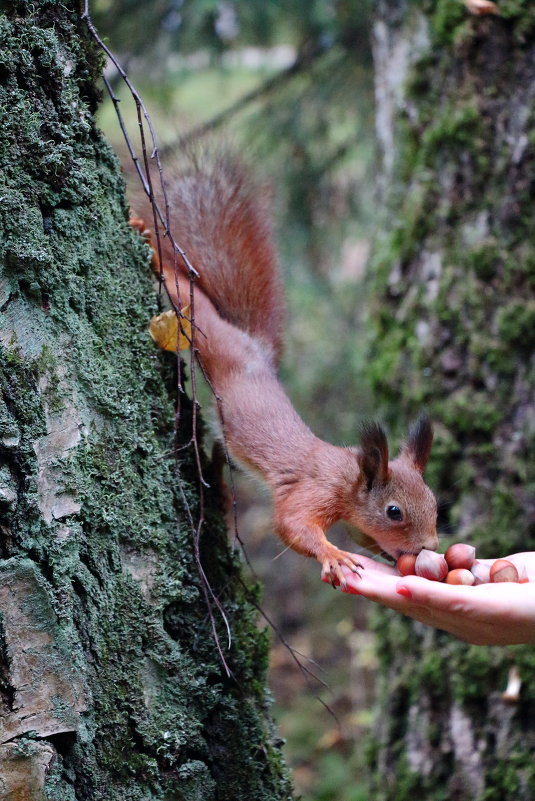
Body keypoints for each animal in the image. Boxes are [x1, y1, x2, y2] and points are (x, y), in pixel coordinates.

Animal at [131, 156, 440, 584]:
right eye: (394, 511)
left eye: (435, 502)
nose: (430, 546)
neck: (347, 476)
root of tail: (255, 349)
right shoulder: (313, 492)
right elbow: (291, 524)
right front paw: (332, 554)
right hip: (211, 337)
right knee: (186, 295)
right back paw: (148, 243)